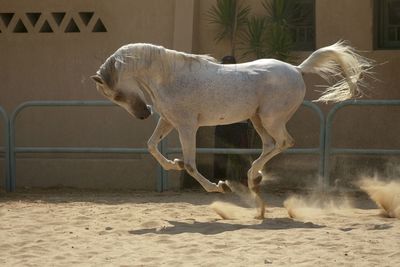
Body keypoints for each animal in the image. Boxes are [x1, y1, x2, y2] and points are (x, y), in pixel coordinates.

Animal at [92, 40, 374, 219]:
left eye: (116, 94)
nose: (143, 114)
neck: (169, 77)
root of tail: (296, 69)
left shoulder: (186, 125)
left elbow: (191, 165)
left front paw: (219, 187)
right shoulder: (169, 121)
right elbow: (151, 146)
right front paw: (174, 164)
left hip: (270, 118)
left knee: (284, 142)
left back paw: (251, 178)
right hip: (258, 119)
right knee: (271, 145)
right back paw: (255, 182)